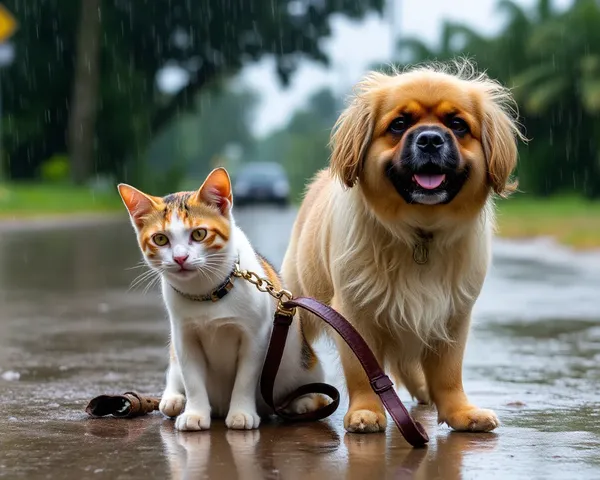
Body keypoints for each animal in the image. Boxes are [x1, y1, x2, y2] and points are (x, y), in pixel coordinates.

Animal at [118, 169, 328, 432]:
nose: (180, 258)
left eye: (199, 234)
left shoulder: (255, 338)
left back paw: (303, 402)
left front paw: (241, 412)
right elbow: (192, 379)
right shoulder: (184, 338)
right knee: (175, 375)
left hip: (305, 366)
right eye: (160, 239)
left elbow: (245, 379)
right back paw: (173, 399)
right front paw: (195, 412)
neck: (208, 293)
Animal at [278, 58, 524, 434]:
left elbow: (449, 373)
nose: (430, 139)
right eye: (399, 124)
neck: (420, 232)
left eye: (457, 125)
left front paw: (460, 412)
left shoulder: (452, 316)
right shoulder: (355, 314)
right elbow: (364, 372)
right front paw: (366, 412)